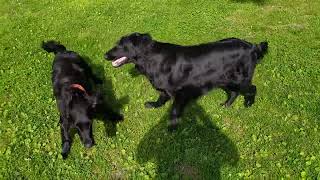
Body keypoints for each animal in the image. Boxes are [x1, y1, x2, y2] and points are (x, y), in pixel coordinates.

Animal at [104, 32, 268, 131]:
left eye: (121, 45)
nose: (105, 55)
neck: (152, 59)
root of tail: (252, 46)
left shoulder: (180, 93)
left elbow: (174, 111)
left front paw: (171, 128)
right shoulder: (166, 89)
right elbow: (161, 97)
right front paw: (154, 105)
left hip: (240, 79)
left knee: (252, 88)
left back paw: (248, 103)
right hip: (225, 79)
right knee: (234, 92)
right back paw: (226, 104)